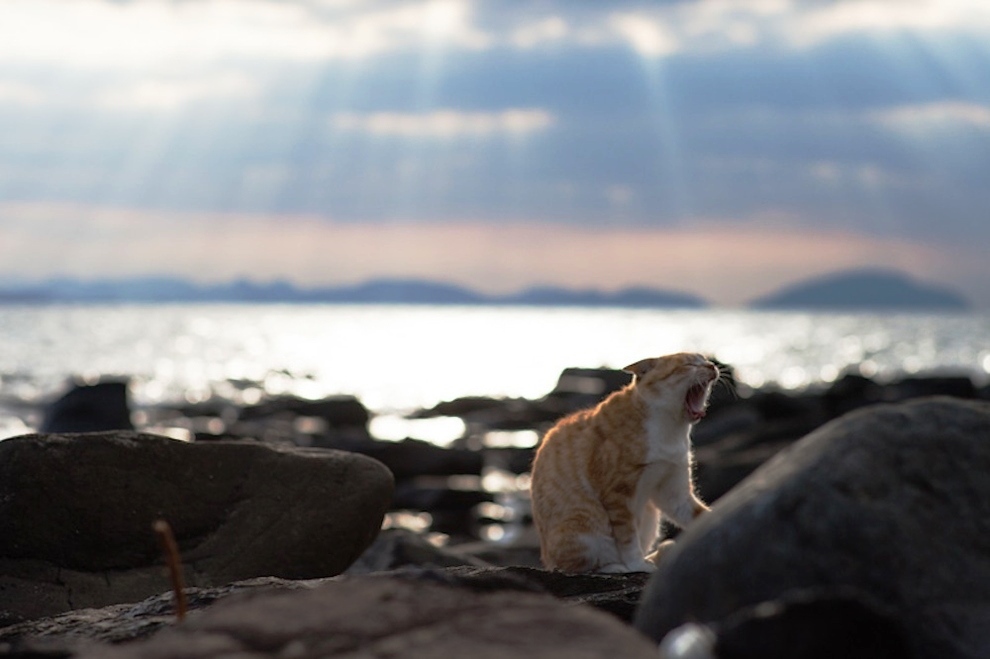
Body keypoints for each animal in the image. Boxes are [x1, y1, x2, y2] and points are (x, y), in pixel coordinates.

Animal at [532, 350, 716, 572]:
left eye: (705, 361)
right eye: (688, 365)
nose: (712, 366)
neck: (671, 428)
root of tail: (546, 559)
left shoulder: (673, 489)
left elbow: (697, 513)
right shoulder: (617, 494)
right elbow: (628, 539)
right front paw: (637, 564)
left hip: (650, 516)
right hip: (581, 527)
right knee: (576, 565)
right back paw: (616, 566)